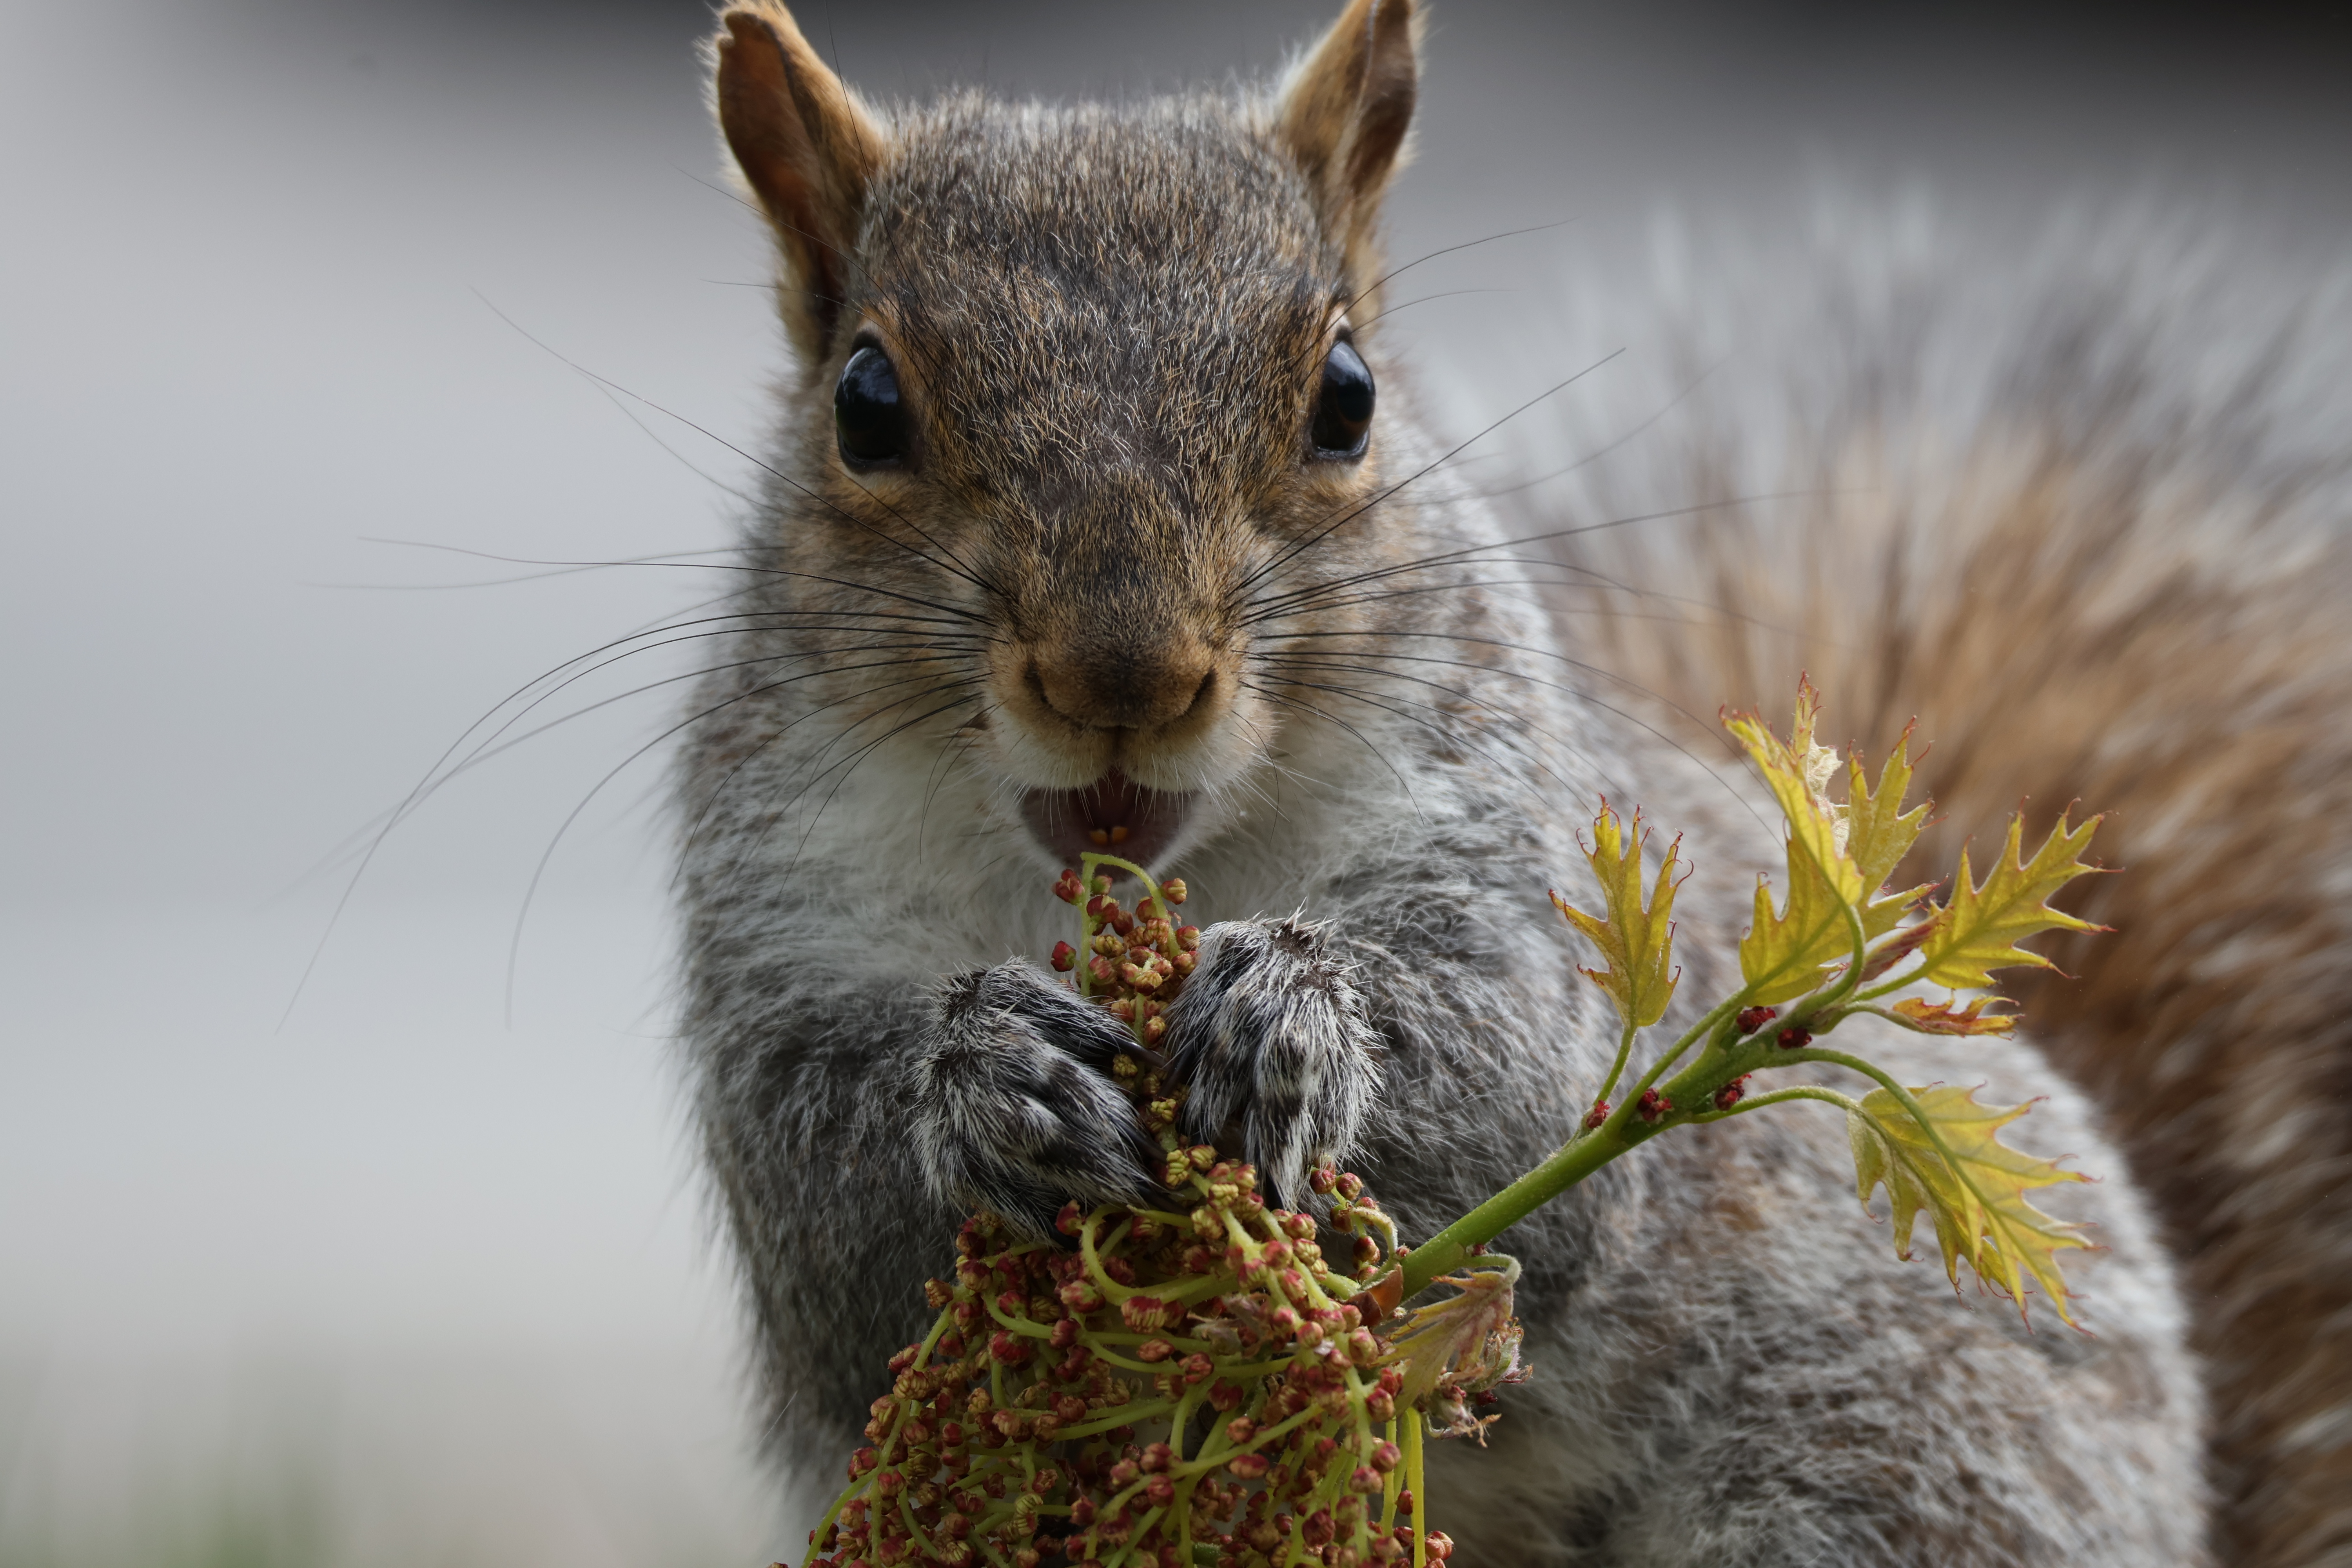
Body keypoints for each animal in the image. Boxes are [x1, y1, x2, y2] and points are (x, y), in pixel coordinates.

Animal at [673, 3, 2349, 1564]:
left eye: (1348, 395)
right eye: (864, 404)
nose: (1122, 677)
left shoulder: (1516, 849)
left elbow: (1515, 1085)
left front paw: (1294, 1015)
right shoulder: (775, 922)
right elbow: (831, 1228)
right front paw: (988, 1073)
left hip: (1897, 1464)